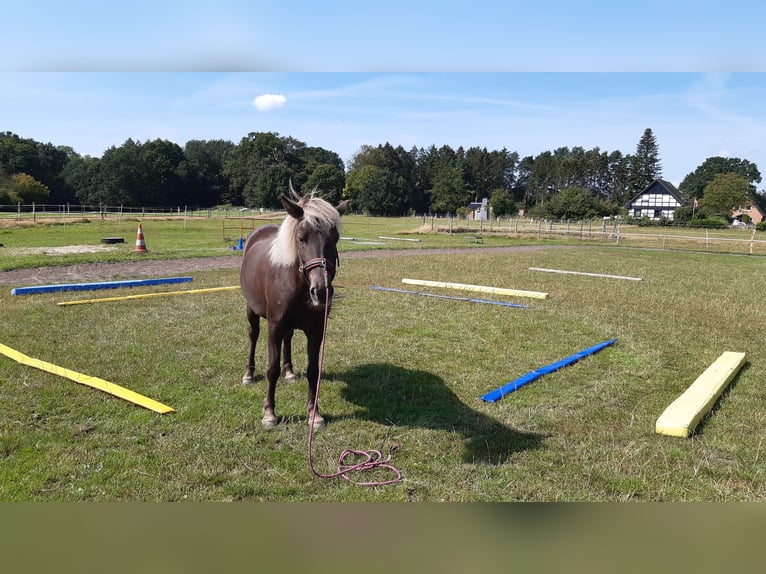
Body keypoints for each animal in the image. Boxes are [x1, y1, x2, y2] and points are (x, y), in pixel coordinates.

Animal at [240, 187, 352, 430]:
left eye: (335, 239)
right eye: (301, 238)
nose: (321, 291)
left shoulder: (316, 331)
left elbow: (313, 371)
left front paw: (314, 414)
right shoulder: (274, 327)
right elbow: (272, 369)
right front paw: (269, 413)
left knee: (289, 338)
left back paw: (289, 371)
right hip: (252, 310)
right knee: (253, 335)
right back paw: (249, 374)